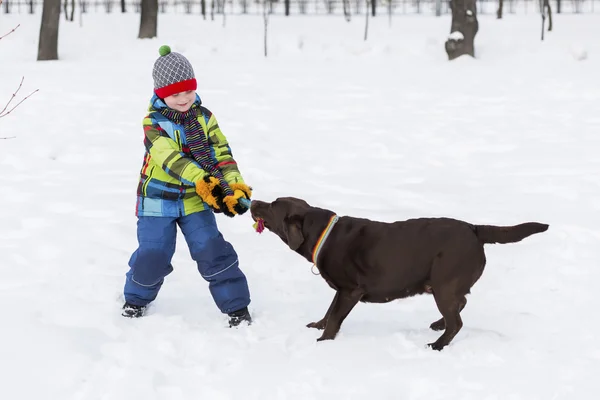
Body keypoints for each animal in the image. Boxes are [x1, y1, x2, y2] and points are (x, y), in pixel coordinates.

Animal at [248, 197, 548, 350]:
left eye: (273, 205)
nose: (253, 201)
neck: (324, 233)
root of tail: (475, 229)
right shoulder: (341, 291)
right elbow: (329, 310)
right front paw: (318, 326)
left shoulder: (350, 290)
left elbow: (335, 317)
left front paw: (323, 342)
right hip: (445, 285)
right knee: (461, 304)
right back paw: (437, 325)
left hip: (444, 283)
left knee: (457, 321)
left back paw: (437, 344)